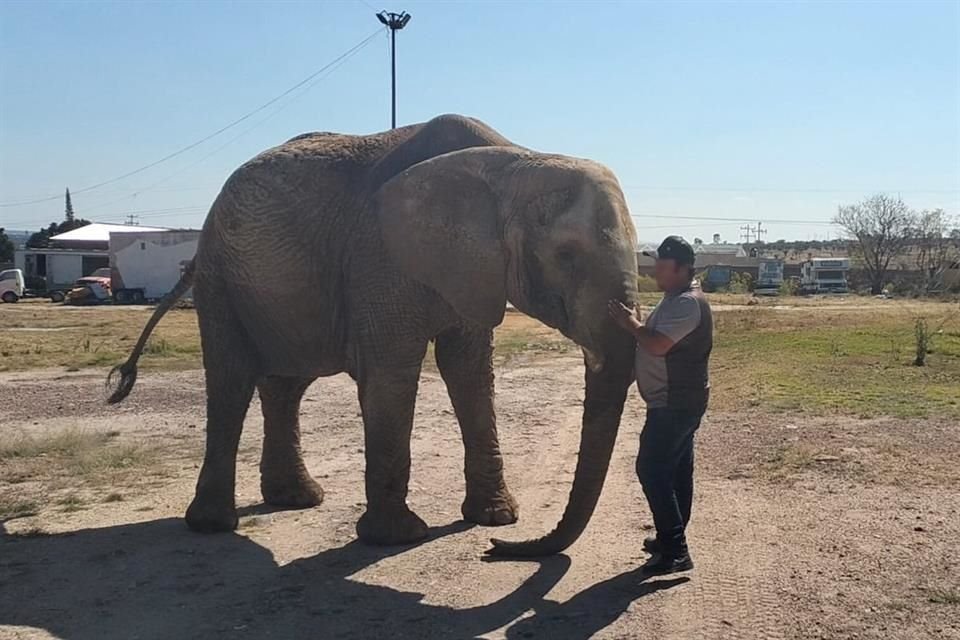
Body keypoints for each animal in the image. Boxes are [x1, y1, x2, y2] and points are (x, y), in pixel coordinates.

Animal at [107, 114, 636, 556]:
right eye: (566, 255)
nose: (498, 551)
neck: (513, 161)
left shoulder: (474, 270)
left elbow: (469, 372)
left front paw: (495, 518)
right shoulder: (380, 255)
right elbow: (393, 374)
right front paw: (399, 538)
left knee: (285, 384)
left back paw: (296, 499)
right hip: (221, 277)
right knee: (231, 379)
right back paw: (214, 525)